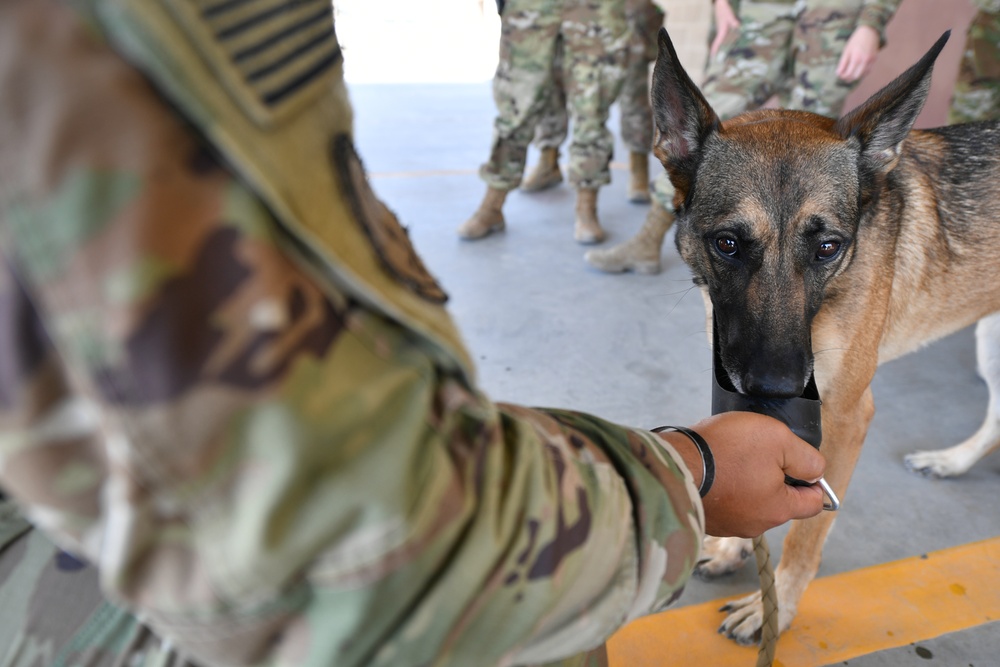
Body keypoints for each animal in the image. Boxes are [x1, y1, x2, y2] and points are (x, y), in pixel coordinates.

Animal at [652, 28, 1000, 644]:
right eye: (727, 244)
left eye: (827, 247)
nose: (777, 384)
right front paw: (738, 543)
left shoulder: (845, 415)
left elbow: (807, 530)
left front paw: (779, 605)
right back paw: (953, 462)